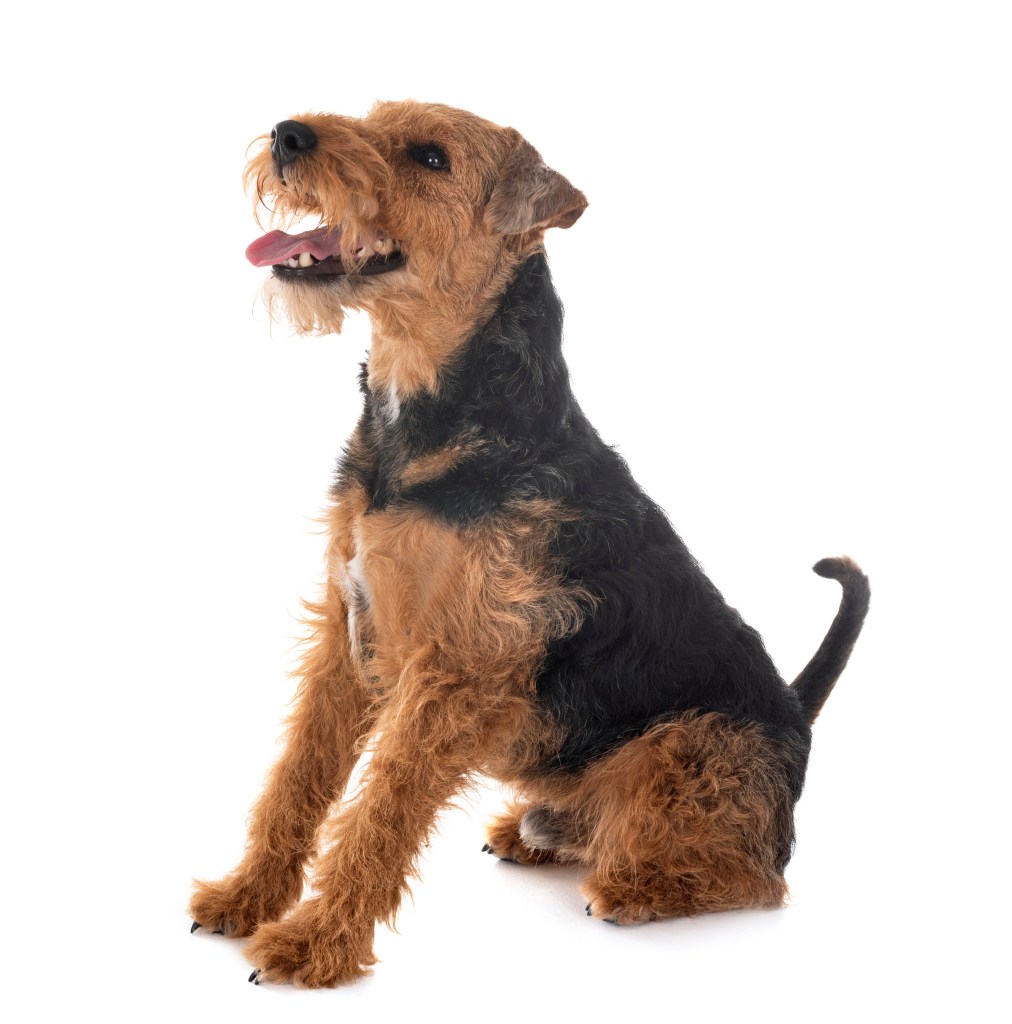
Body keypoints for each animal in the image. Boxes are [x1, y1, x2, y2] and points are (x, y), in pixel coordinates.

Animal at [189, 101, 868, 983]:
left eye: (430, 157)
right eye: (371, 118)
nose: (288, 135)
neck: (425, 422)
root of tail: (795, 713)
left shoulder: (452, 671)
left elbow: (380, 809)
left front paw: (314, 944)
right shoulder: (348, 635)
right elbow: (297, 779)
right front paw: (245, 896)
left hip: (687, 748)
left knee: (756, 877)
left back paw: (632, 889)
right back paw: (538, 832)